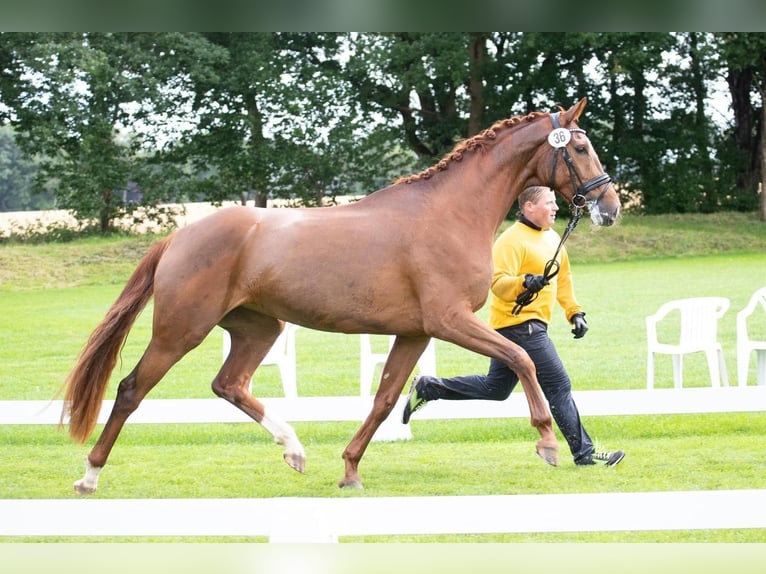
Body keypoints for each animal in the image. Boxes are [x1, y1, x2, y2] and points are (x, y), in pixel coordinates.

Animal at [63, 99, 620, 496]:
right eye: (581, 148)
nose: (610, 206)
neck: (449, 212)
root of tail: (178, 236)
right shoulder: (449, 320)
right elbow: (522, 358)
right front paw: (547, 442)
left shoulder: (415, 331)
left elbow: (385, 398)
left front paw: (350, 469)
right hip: (181, 329)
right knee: (131, 389)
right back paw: (89, 475)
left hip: (259, 327)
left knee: (229, 384)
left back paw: (294, 450)